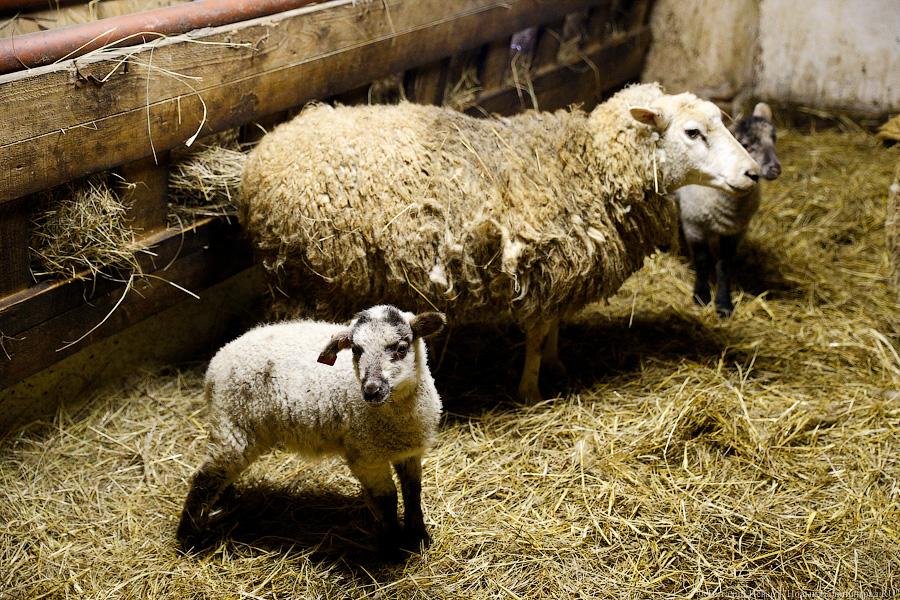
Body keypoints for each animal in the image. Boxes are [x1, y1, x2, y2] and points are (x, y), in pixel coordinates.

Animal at [176, 305, 447, 553]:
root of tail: (216, 363)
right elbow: (387, 500)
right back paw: (189, 537)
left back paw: (221, 502)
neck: (398, 416)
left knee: (218, 474)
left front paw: (418, 537)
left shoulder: (410, 451)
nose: (372, 390)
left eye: (401, 347)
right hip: (234, 425)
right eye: (356, 350)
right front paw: (392, 546)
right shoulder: (366, 457)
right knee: (204, 478)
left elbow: (413, 492)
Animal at [239, 82, 760, 402]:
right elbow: (536, 333)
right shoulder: (543, 269)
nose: (754, 173)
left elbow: (553, 327)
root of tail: (260, 158)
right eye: (693, 132)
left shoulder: (560, 272)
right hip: (308, 276)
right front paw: (530, 390)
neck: (590, 166)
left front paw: (557, 363)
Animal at [675, 102, 781, 316]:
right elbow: (702, 260)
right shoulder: (693, 222)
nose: (774, 169)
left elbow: (724, 264)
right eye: (745, 144)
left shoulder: (736, 230)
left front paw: (724, 303)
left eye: (773, 139)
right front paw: (701, 295)